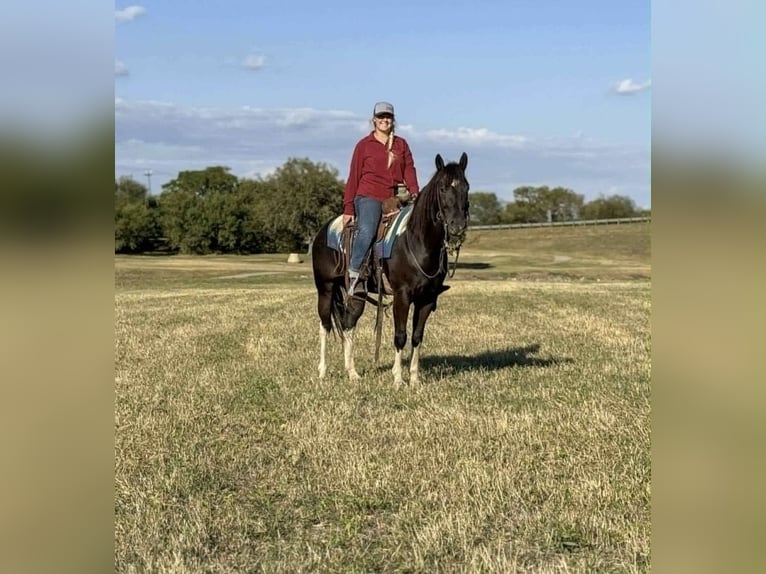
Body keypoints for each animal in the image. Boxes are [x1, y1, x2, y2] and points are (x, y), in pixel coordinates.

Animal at [311, 152, 470, 384]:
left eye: (466, 187)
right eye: (442, 188)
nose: (458, 225)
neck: (417, 241)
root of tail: (323, 231)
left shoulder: (427, 299)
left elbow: (416, 337)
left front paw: (414, 379)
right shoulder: (402, 296)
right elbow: (400, 335)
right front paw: (397, 379)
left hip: (357, 293)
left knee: (348, 324)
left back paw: (352, 373)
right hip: (326, 289)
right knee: (325, 326)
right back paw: (322, 372)